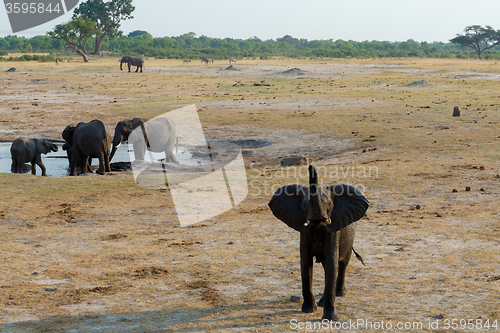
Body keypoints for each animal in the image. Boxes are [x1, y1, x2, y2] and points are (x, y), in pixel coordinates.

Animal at [268, 165, 370, 320]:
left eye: (329, 204)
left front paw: (330, 318)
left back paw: (340, 293)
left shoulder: (333, 231)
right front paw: (309, 310)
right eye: (304, 204)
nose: (310, 166)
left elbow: (332, 264)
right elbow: (306, 263)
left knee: (342, 264)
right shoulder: (304, 233)